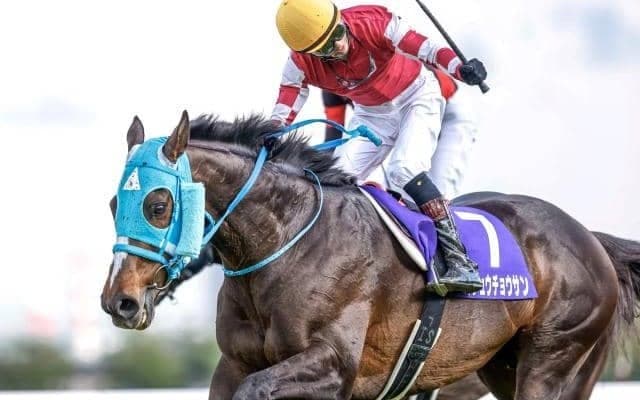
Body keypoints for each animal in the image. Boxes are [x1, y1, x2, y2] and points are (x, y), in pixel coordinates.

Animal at [101, 111, 640, 400]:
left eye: (156, 205)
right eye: (112, 204)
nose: (118, 301)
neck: (285, 241)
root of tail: (590, 238)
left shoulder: (335, 365)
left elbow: (261, 388)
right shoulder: (233, 364)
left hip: (554, 357)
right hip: (505, 365)